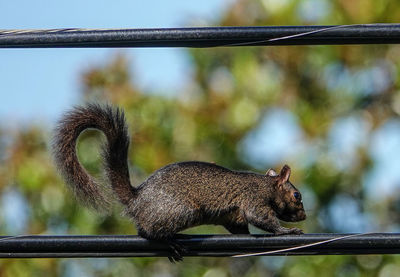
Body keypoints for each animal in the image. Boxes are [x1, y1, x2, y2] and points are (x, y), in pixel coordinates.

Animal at [51, 103, 304, 260]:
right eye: (297, 196)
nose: (303, 216)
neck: (266, 185)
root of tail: (136, 199)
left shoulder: (235, 218)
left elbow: (240, 229)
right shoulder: (254, 198)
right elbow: (261, 218)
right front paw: (287, 231)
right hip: (182, 211)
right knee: (147, 231)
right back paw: (169, 242)